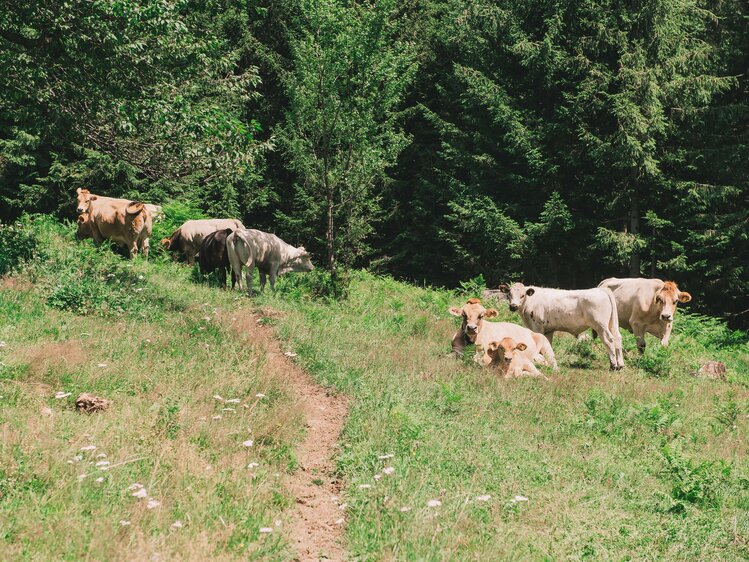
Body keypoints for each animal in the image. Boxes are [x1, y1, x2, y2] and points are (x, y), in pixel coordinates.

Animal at [496, 282, 624, 370]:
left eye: (522, 295)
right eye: (509, 294)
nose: (513, 306)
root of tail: (601, 290)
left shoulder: (537, 327)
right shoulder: (548, 330)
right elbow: (548, 346)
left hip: (601, 326)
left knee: (609, 340)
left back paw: (613, 365)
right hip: (611, 323)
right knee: (618, 338)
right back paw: (620, 365)